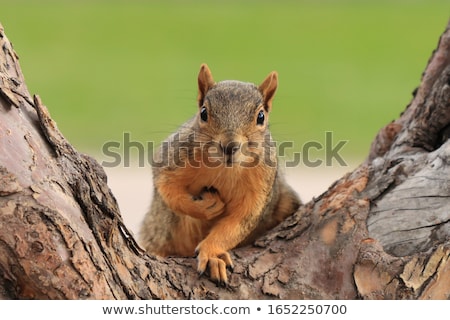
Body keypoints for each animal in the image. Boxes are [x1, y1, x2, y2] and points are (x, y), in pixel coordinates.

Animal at [140, 63, 302, 284]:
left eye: (261, 117)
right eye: (203, 113)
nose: (229, 146)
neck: (224, 169)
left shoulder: (261, 188)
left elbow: (238, 223)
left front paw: (212, 254)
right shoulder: (170, 159)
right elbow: (168, 190)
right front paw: (205, 207)